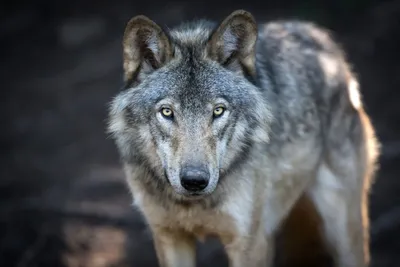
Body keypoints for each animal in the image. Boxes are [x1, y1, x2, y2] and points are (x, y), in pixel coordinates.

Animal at [107, 8, 382, 267]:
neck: (193, 205)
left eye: (218, 111)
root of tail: (319, 36)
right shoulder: (169, 237)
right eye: (167, 112)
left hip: (343, 230)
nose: (194, 181)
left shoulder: (249, 244)